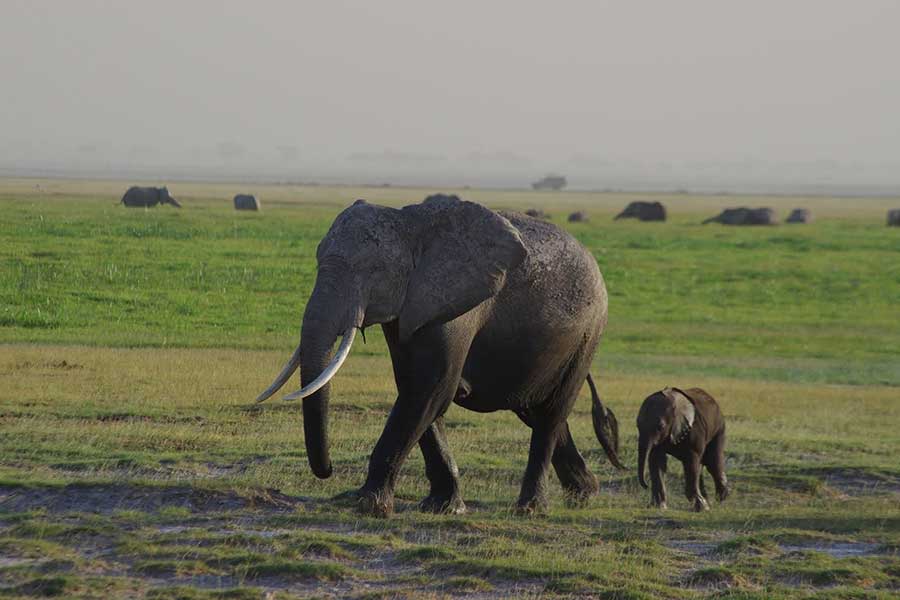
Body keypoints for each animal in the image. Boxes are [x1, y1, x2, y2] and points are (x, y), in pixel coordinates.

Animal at [256, 196, 624, 516]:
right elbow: (416, 390)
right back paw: (584, 493)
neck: (411, 224)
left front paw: (369, 505)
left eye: (372, 269)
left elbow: (430, 390)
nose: (328, 470)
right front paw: (443, 508)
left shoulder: (452, 308)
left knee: (550, 414)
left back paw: (531, 509)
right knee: (535, 410)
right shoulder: (410, 307)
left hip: (588, 335)